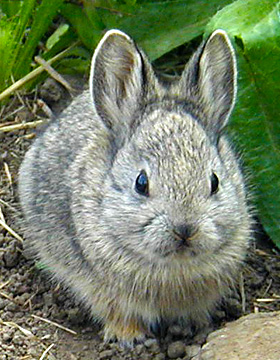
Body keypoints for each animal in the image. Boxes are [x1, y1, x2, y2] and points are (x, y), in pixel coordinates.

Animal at [18, 28, 253, 346]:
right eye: (141, 183)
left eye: (214, 181)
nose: (185, 229)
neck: (173, 267)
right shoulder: (100, 287)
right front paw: (130, 336)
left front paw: (195, 326)